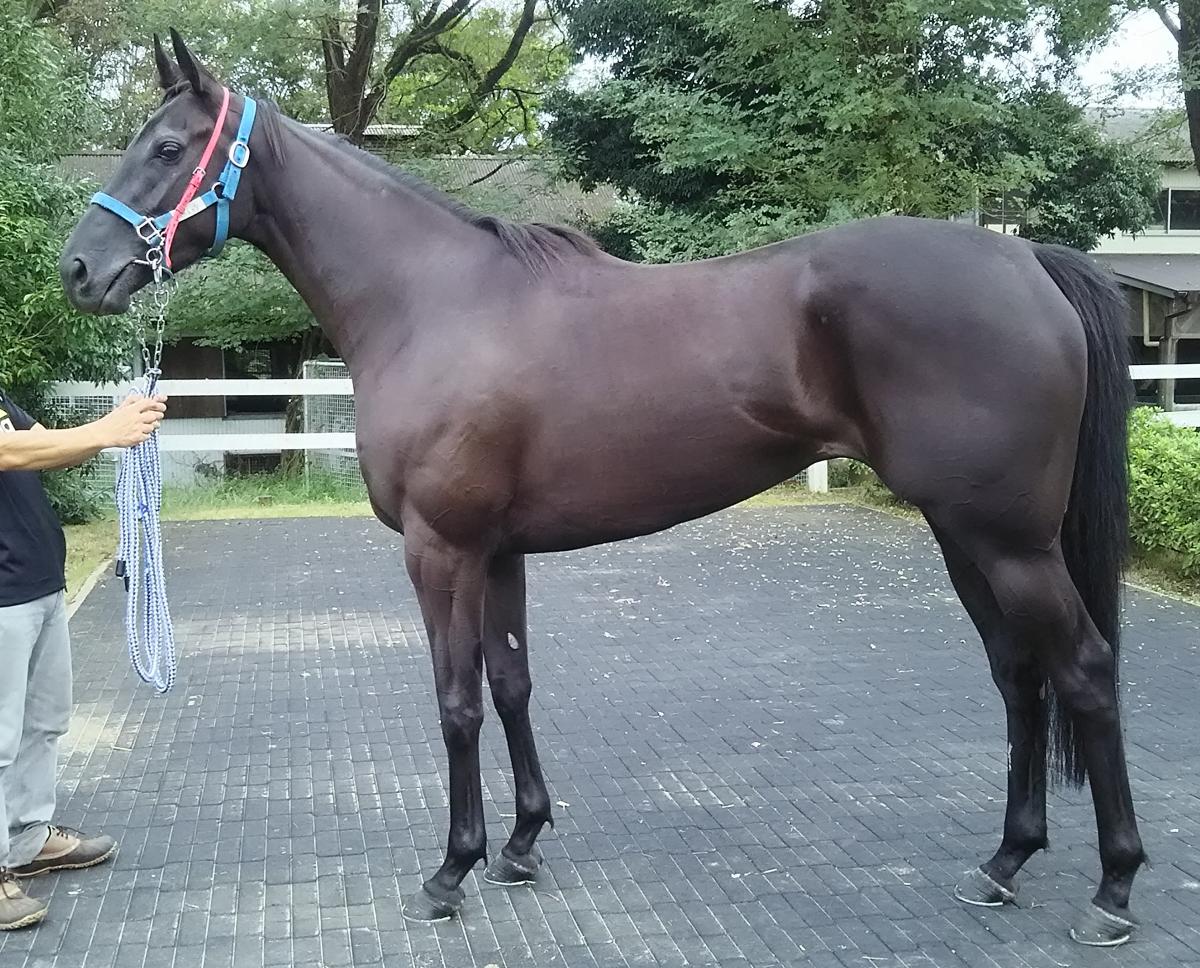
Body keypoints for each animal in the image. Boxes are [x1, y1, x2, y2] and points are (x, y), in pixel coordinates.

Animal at [60, 31, 1145, 947]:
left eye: (166, 147)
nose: (78, 270)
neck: (431, 301)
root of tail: (1025, 257)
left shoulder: (441, 548)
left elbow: (456, 700)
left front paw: (452, 869)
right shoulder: (500, 551)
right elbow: (511, 684)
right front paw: (522, 844)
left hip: (1008, 541)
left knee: (1086, 670)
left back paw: (1114, 887)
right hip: (965, 534)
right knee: (1019, 674)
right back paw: (1006, 859)